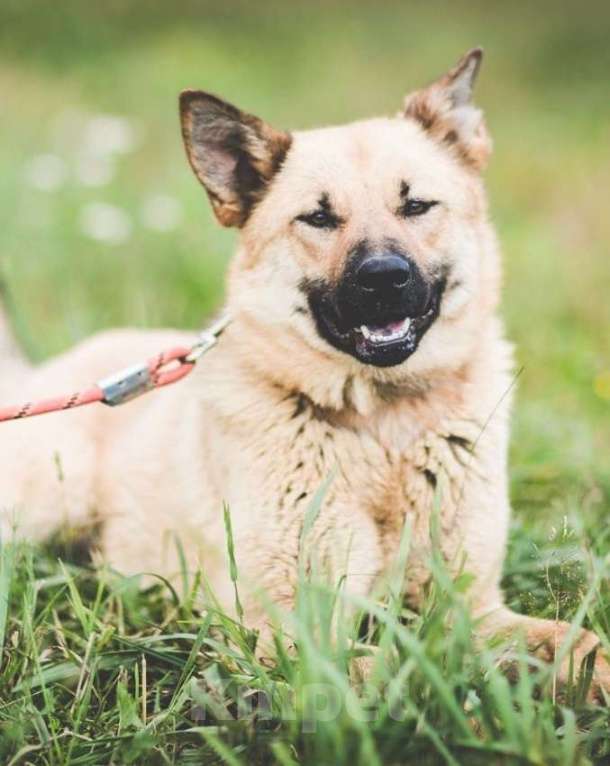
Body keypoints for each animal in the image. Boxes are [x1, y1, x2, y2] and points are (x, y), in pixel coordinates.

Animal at [0, 49, 604, 704]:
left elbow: (578, 643)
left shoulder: (471, 604)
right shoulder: (297, 635)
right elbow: (416, 668)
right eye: (318, 217)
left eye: (416, 205)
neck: (381, 431)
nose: (383, 278)